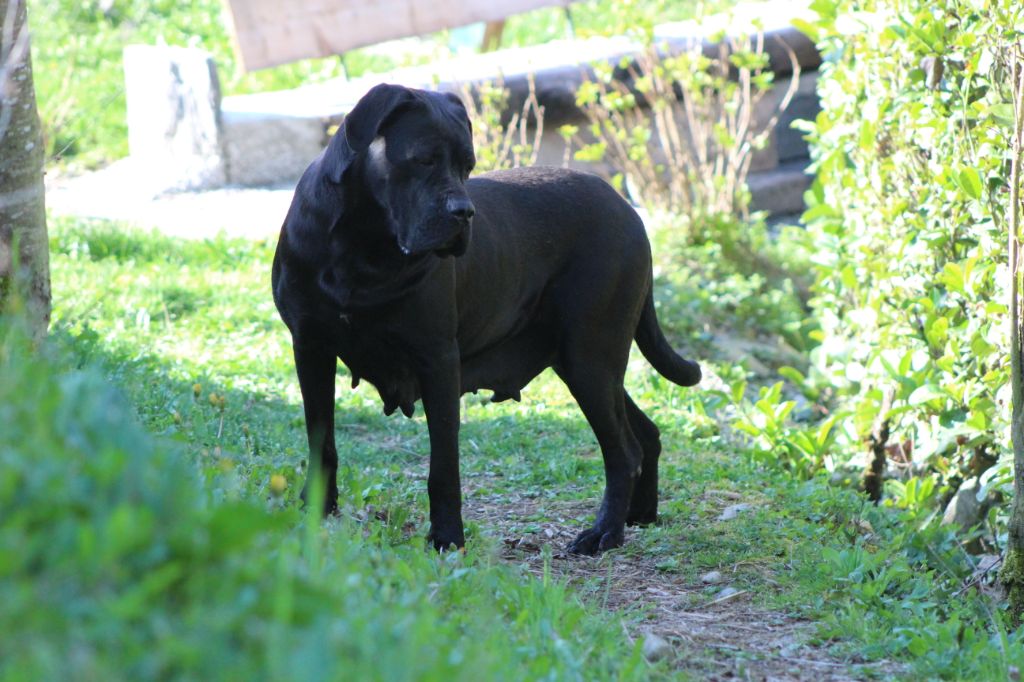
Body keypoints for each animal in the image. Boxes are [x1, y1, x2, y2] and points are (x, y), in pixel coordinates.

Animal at [274, 83, 704, 552]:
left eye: (468, 166)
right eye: (423, 159)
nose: (464, 212)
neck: (363, 246)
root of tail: (628, 209)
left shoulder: (437, 359)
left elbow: (443, 464)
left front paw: (446, 537)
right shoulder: (311, 348)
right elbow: (322, 440)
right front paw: (316, 508)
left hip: (592, 356)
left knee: (623, 450)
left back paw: (604, 532)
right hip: (583, 362)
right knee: (645, 433)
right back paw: (639, 514)